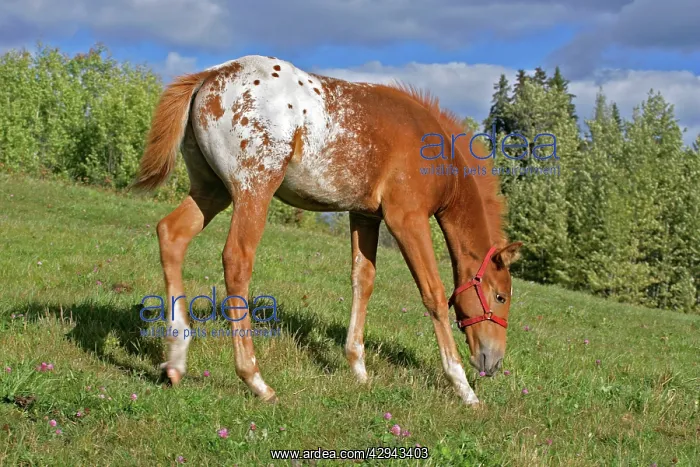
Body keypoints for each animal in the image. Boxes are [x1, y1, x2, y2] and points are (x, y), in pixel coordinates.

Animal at [133, 55, 522, 405]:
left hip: (211, 190)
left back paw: (176, 359)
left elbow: (362, 281)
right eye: (501, 297)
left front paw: (359, 369)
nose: (493, 361)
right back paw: (256, 380)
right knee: (237, 259)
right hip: (253, 189)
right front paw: (463, 388)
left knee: (171, 234)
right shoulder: (406, 219)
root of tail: (209, 76)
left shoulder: (365, 216)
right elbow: (434, 295)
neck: (438, 155)